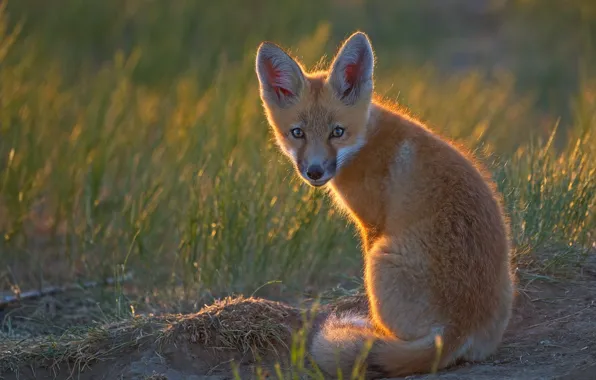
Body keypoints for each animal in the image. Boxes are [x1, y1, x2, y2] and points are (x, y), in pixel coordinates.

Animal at [254, 31, 516, 378]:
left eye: (337, 132)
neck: (365, 141)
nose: (315, 172)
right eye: (298, 133)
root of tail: (457, 329)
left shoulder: (372, 224)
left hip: (380, 260)